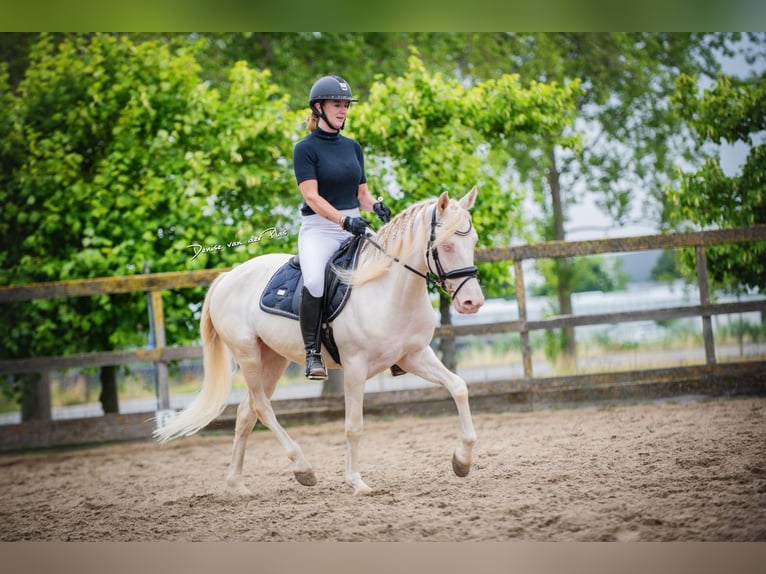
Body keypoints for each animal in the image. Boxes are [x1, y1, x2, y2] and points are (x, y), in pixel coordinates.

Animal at [156, 189, 486, 496]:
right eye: (445, 244)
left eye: (473, 241)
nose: (472, 303)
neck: (388, 289)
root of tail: (227, 277)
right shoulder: (355, 366)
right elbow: (354, 426)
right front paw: (356, 482)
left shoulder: (414, 355)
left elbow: (459, 387)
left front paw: (462, 461)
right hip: (247, 353)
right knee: (262, 407)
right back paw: (303, 468)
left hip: (272, 358)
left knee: (246, 413)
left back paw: (237, 485)